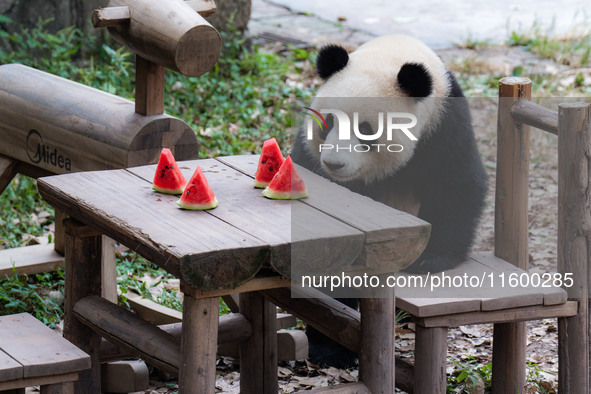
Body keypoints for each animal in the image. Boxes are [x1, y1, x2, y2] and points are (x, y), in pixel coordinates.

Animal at [292, 35, 490, 368]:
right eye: (328, 121)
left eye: (365, 129)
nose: (333, 164)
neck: (393, 53)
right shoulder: (310, 154)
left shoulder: (444, 126)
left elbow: (457, 186)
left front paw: (430, 259)